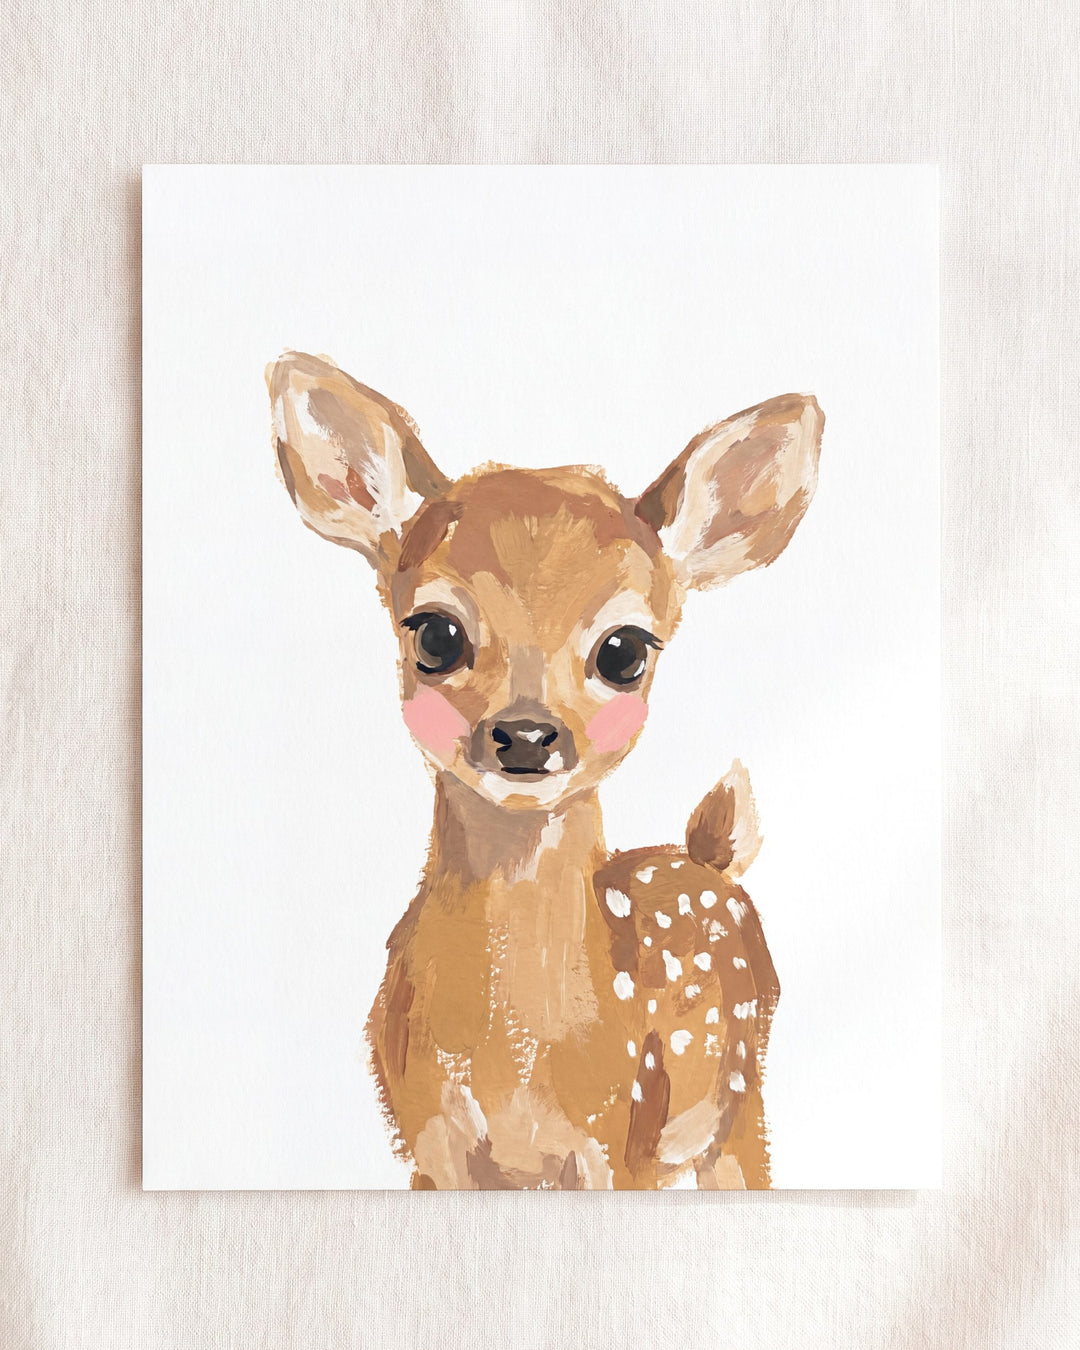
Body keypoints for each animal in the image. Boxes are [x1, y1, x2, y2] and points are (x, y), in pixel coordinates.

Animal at [268, 351, 823, 1189]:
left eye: (625, 649)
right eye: (435, 633)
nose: (527, 735)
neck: (517, 1060)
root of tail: (709, 859)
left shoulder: (616, 1142)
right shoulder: (427, 1146)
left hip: (738, 1102)